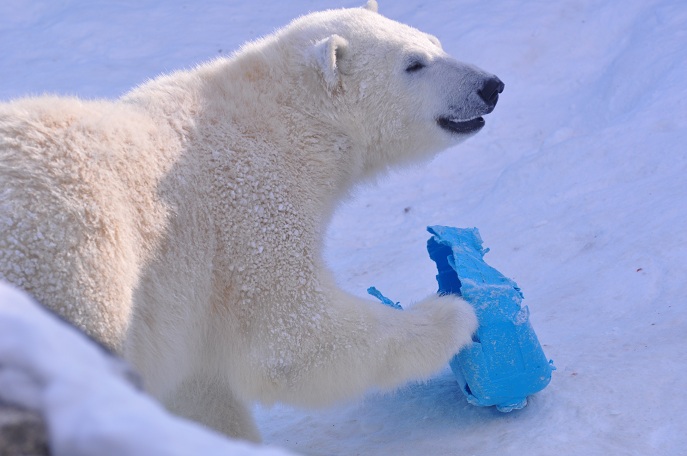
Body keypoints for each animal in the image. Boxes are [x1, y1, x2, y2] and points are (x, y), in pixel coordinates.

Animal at [0, 0, 506, 442]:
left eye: (435, 42)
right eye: (414, 64)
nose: (491, 85)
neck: (290, 120)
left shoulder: (192, 303)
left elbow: (201, 384)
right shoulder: (249, 208)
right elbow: (292, 335)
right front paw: (453, 314)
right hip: (74, 258)